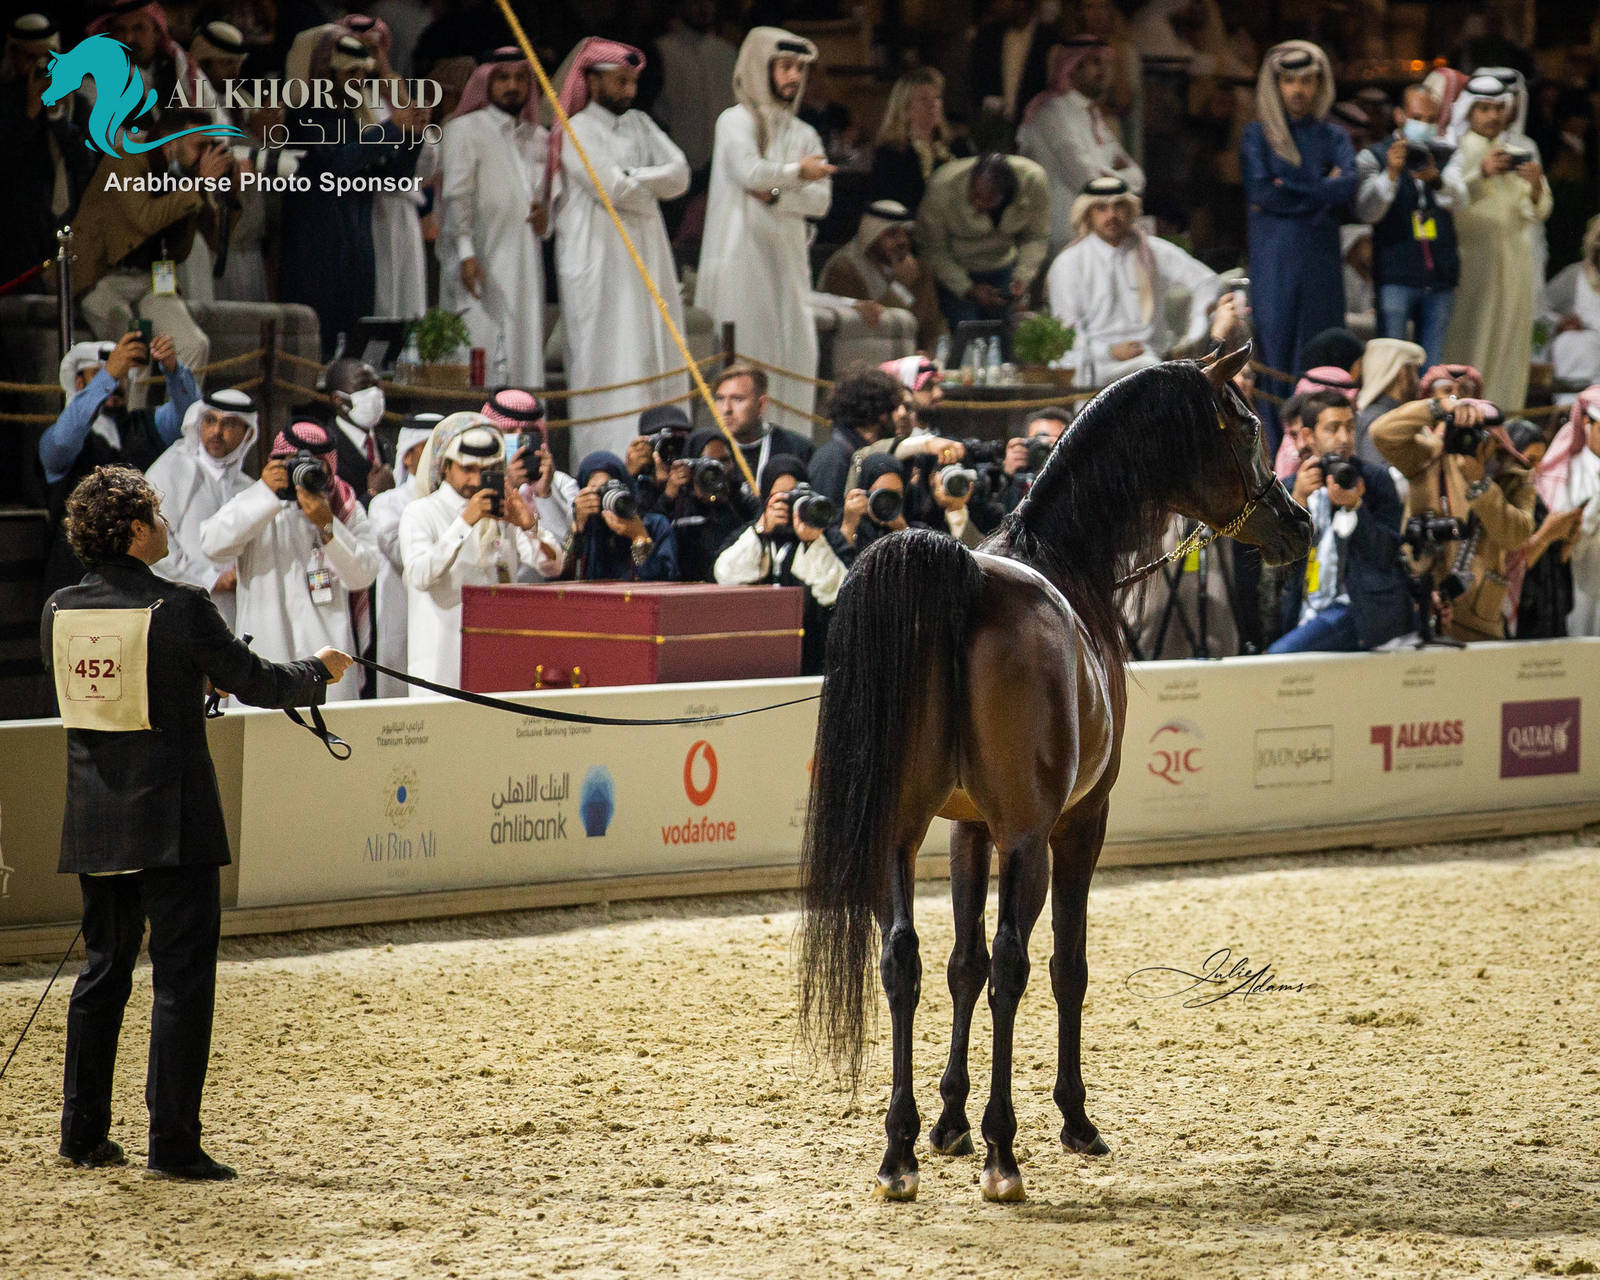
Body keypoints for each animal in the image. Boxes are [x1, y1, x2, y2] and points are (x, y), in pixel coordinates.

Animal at [798, 344, 1312, 1203]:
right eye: (1246, 429)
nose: (1298, 523)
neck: (1064, 562)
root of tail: (965, 580)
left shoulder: (967, 830)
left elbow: (961, 964)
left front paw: (947, 1123)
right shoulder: (1076, 823)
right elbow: (1064, 967)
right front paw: (1071, 1119)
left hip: (899, 833)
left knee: (903, 958)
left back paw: (899, 1154)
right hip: (1029, 837)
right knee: (1016, 964)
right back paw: (1005, 1156)